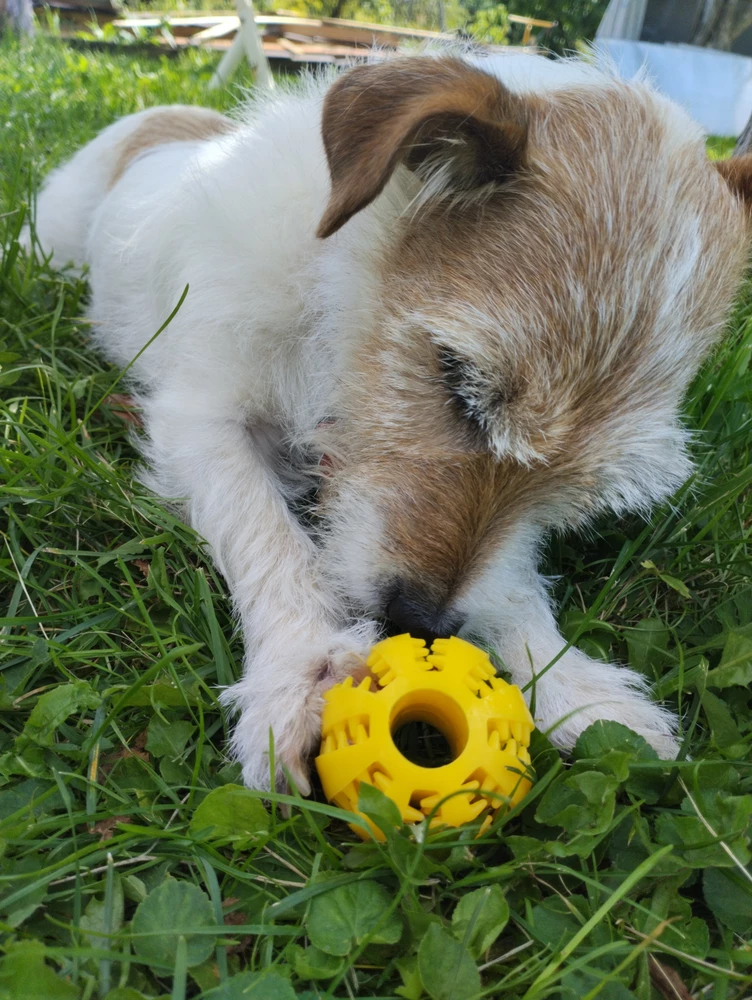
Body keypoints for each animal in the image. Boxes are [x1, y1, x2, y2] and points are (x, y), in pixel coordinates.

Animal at [27, 52, 752, 788]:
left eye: (583, 491)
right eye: (456, 378)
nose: (420, 622)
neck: (332, 291)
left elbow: (510, 573)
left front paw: (571, 685)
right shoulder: (201, 420)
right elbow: (265, 532)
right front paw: (303, 671)